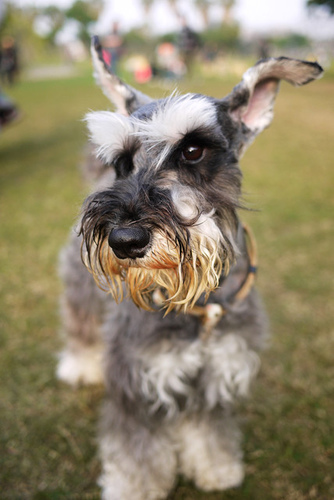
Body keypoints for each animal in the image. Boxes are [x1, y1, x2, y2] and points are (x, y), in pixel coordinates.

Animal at [56, 36, 320, 500]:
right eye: (122, 163)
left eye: (193, 150)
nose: (124, 240)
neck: (200, 303)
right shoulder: (137, 377)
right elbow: (135, 448)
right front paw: (133, 487)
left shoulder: (218, 372)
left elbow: (209, 429)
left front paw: (215, 468)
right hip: (80, 287)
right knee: (81, 322)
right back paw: (80, 365)